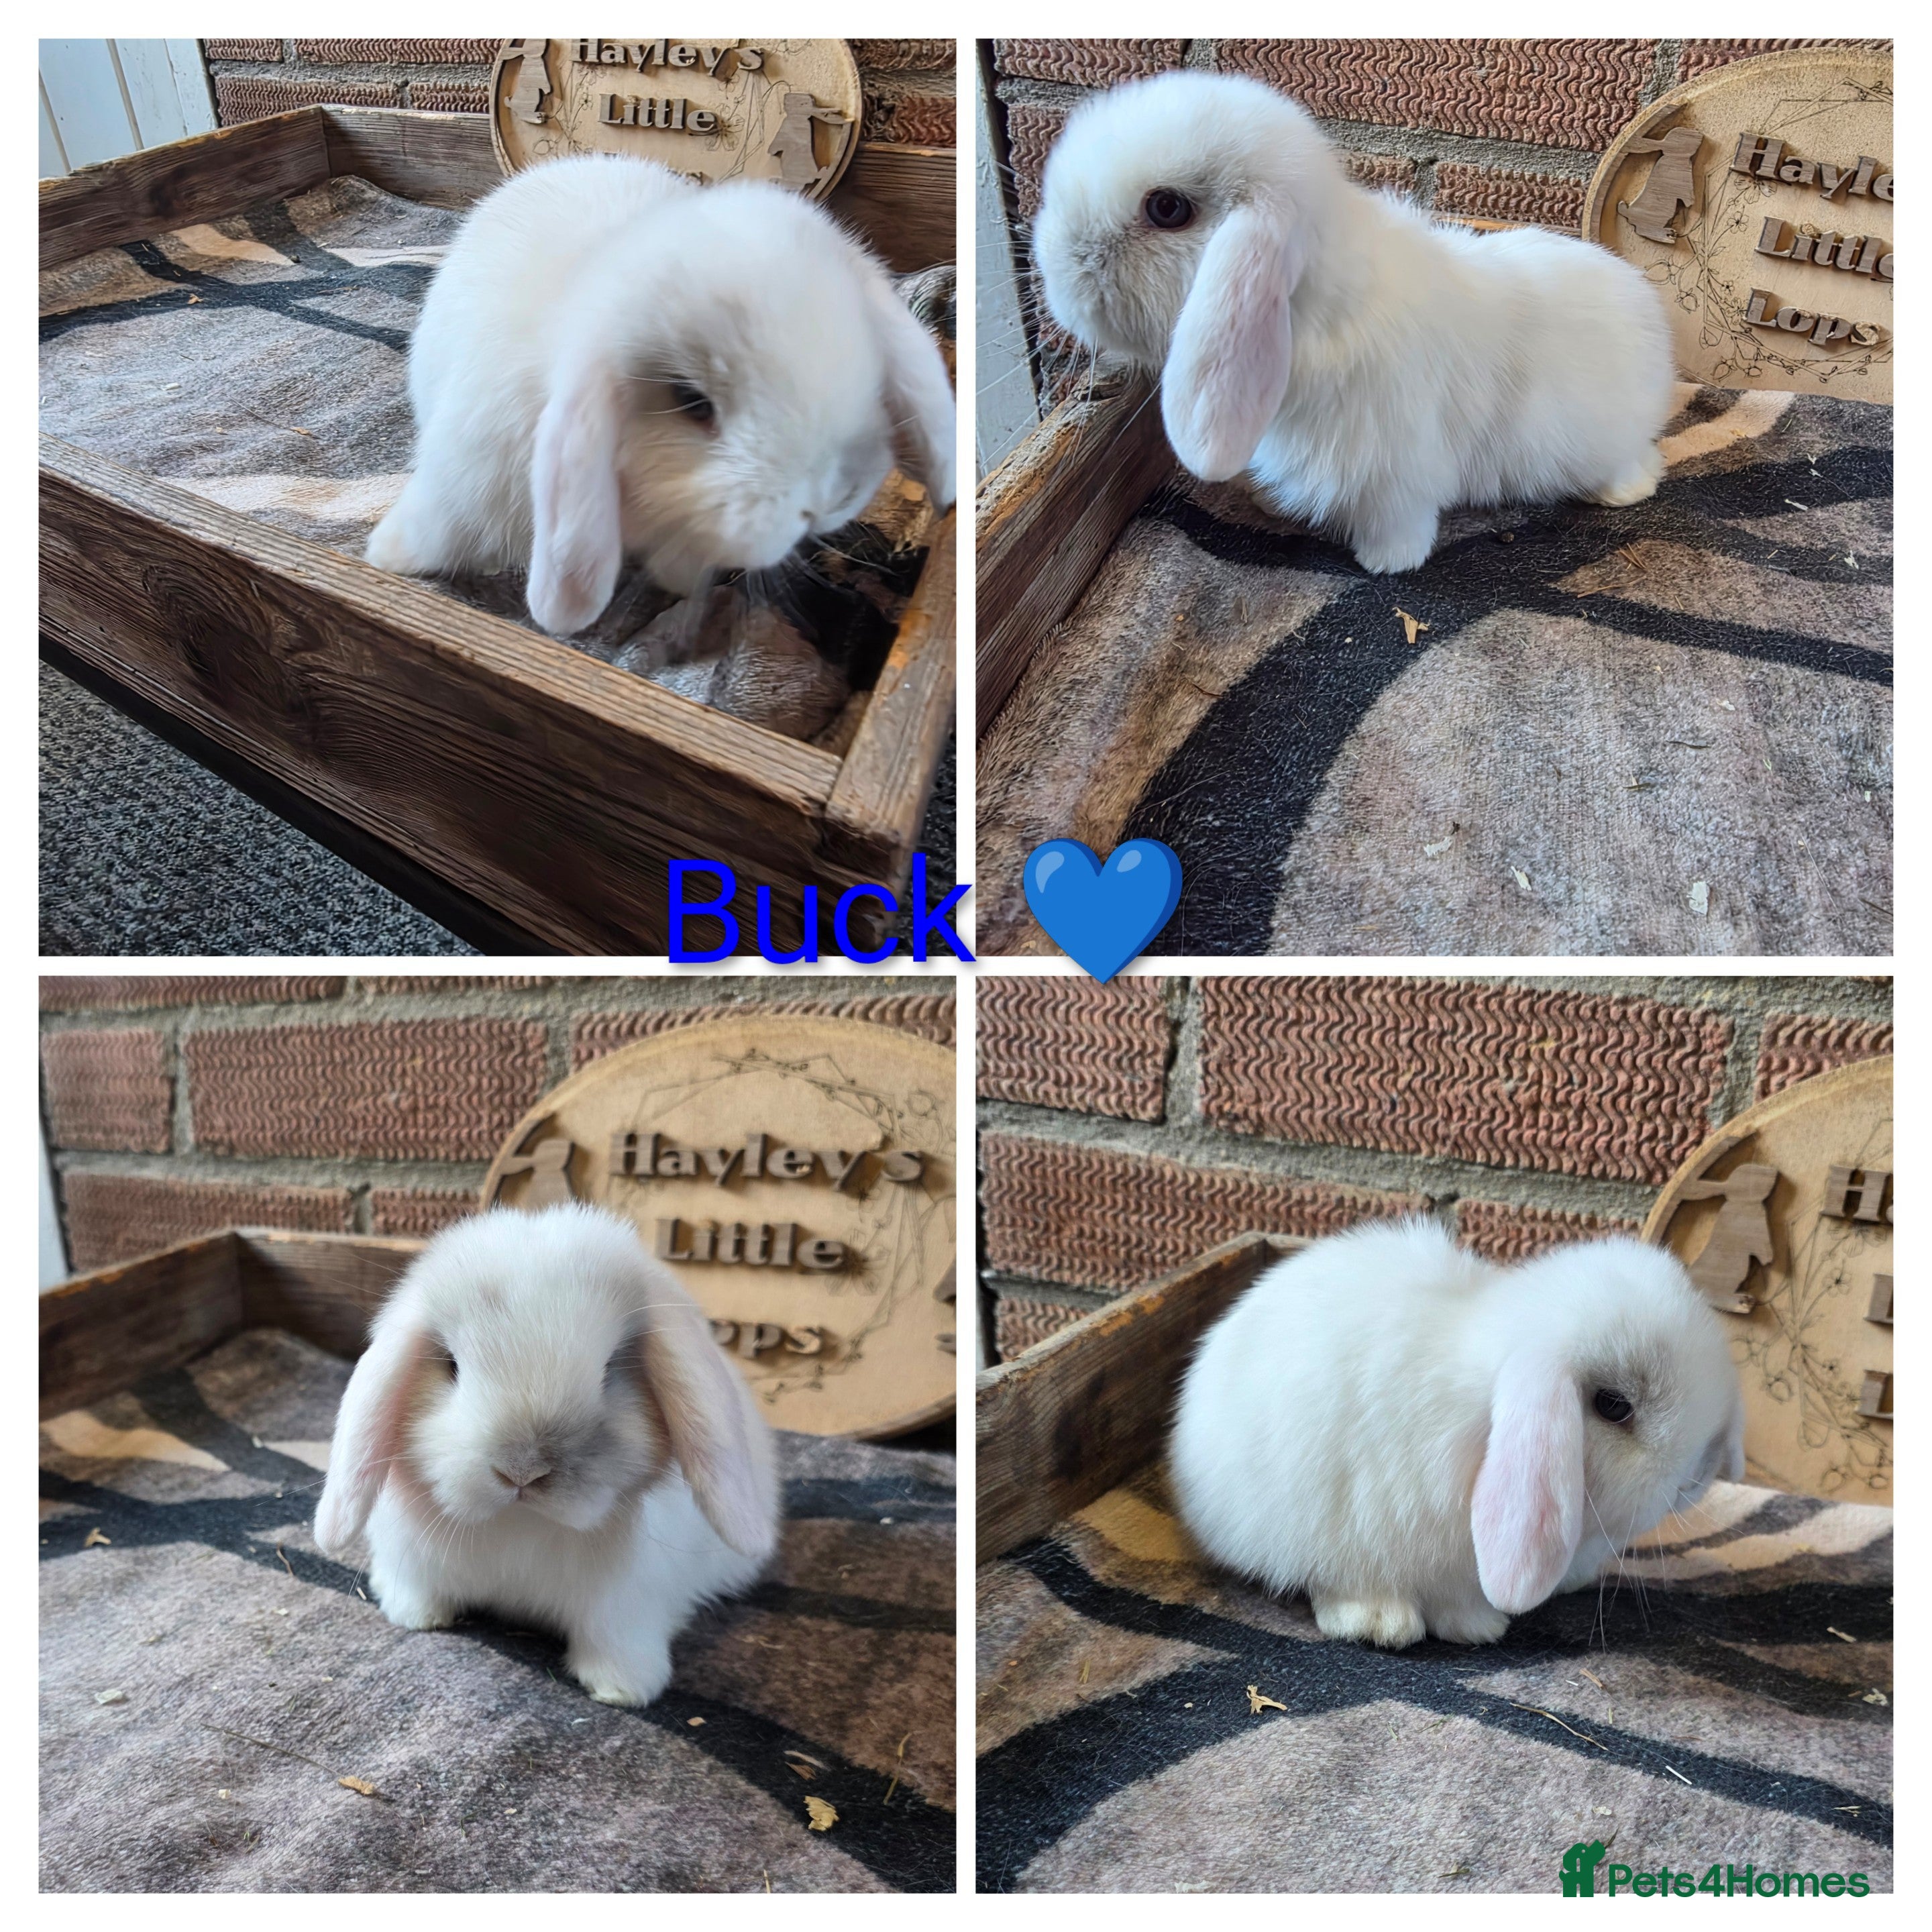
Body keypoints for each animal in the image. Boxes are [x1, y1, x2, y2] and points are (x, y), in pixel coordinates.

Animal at [314, 1203, 779, 1705]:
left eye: (610, 1369)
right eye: (452, 1365)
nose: (522, 1471)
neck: (519, 1523)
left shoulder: (624, 1609)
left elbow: (615, 1643)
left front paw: (622, 1689)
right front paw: (416, 1617)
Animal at [1032, 71, 1676, 573]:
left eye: (1167, 208)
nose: (1055, 271)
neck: (1305, 311)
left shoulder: (1396, 470)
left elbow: (1400, 523)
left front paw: (1387, 562)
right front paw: (1271, 507)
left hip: (1605, 440)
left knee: (1640, 464)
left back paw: (1624, 490)